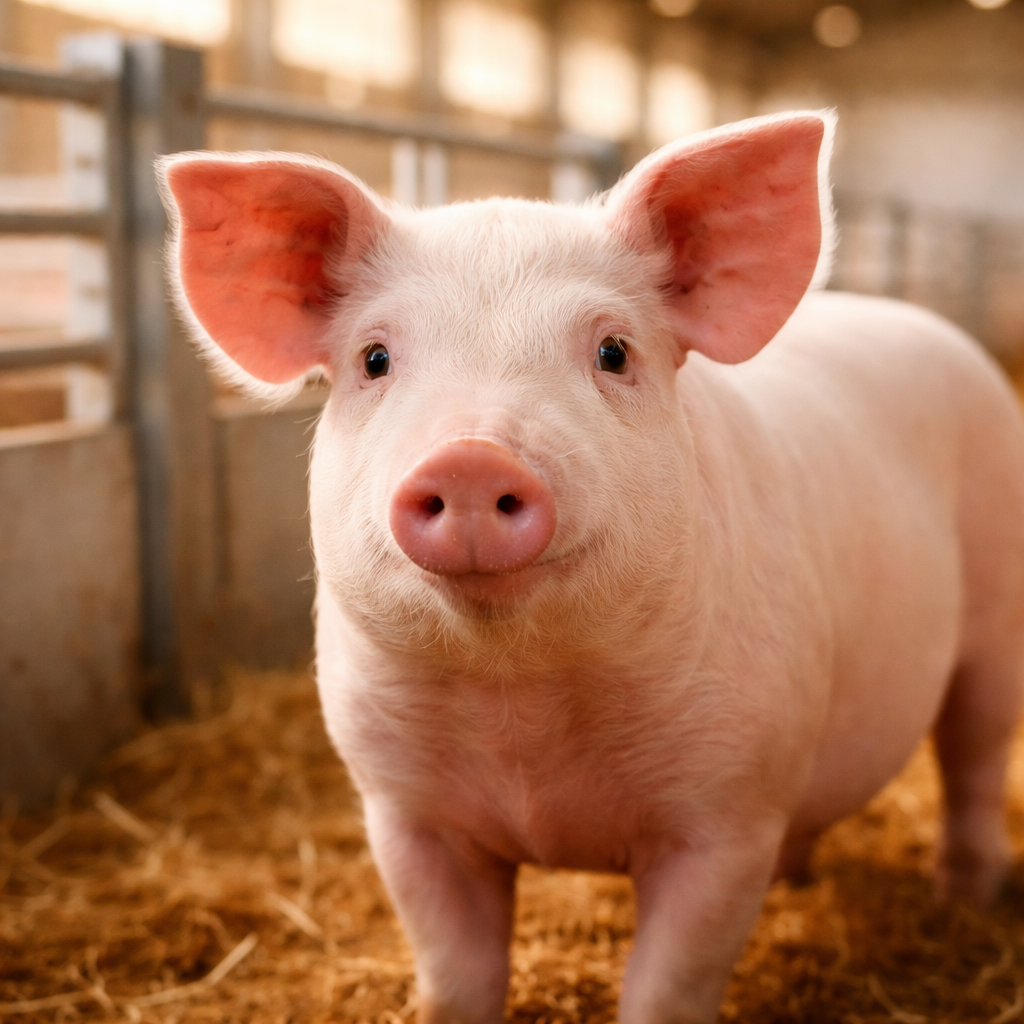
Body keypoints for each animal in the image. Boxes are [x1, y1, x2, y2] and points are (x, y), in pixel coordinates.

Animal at [157, 110, 1024, 1024]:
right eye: (374, 360)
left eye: (612, 351)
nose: (472, 457)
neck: (523, 714)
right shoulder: (402, 814)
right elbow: (455, 974)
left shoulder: (728, 813)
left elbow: (669, 985)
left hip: (997, 611)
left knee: (974, 758)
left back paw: (964, 897)